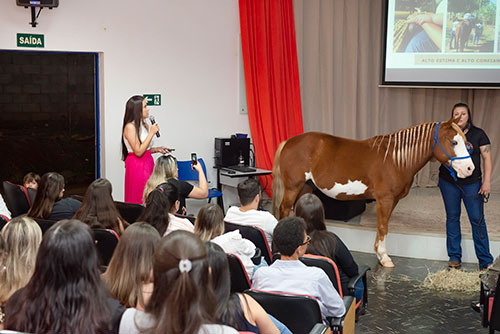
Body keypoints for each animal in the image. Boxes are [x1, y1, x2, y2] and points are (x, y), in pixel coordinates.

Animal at [272, 118, 474, 268]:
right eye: (454, 142)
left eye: (465, 142)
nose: (470, 169)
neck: (396, 159)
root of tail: (289, 142)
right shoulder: (385, 199)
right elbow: (383, 226)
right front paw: (384, 257)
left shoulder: (392, 201)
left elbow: (382, 226)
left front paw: (379, 252)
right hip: (293, 187)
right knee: (283, 210)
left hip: (305, 187)